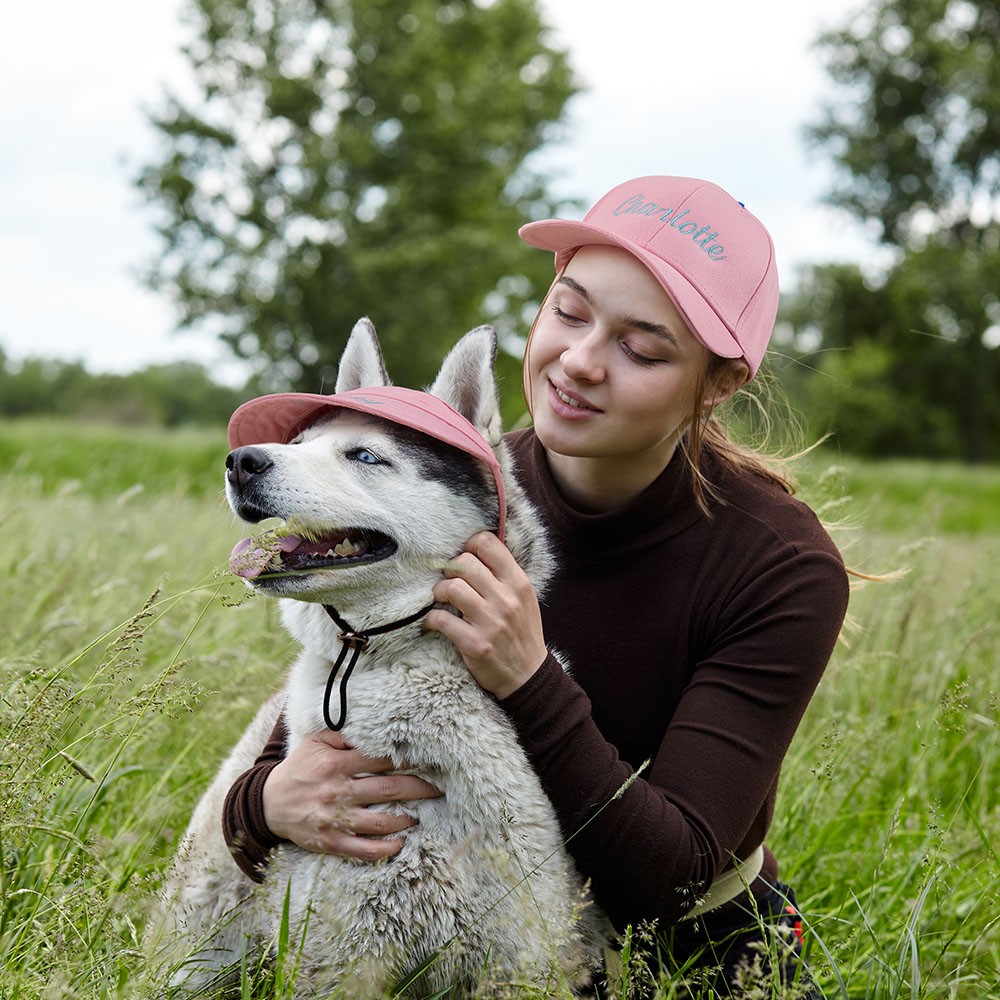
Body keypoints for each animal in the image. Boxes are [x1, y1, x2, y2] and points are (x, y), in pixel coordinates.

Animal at [151, 322, 604, 1000]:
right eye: (299, 444)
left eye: (364, 457)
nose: (240, 461)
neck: (391, 662)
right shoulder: (338, 956)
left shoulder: (523, 959)